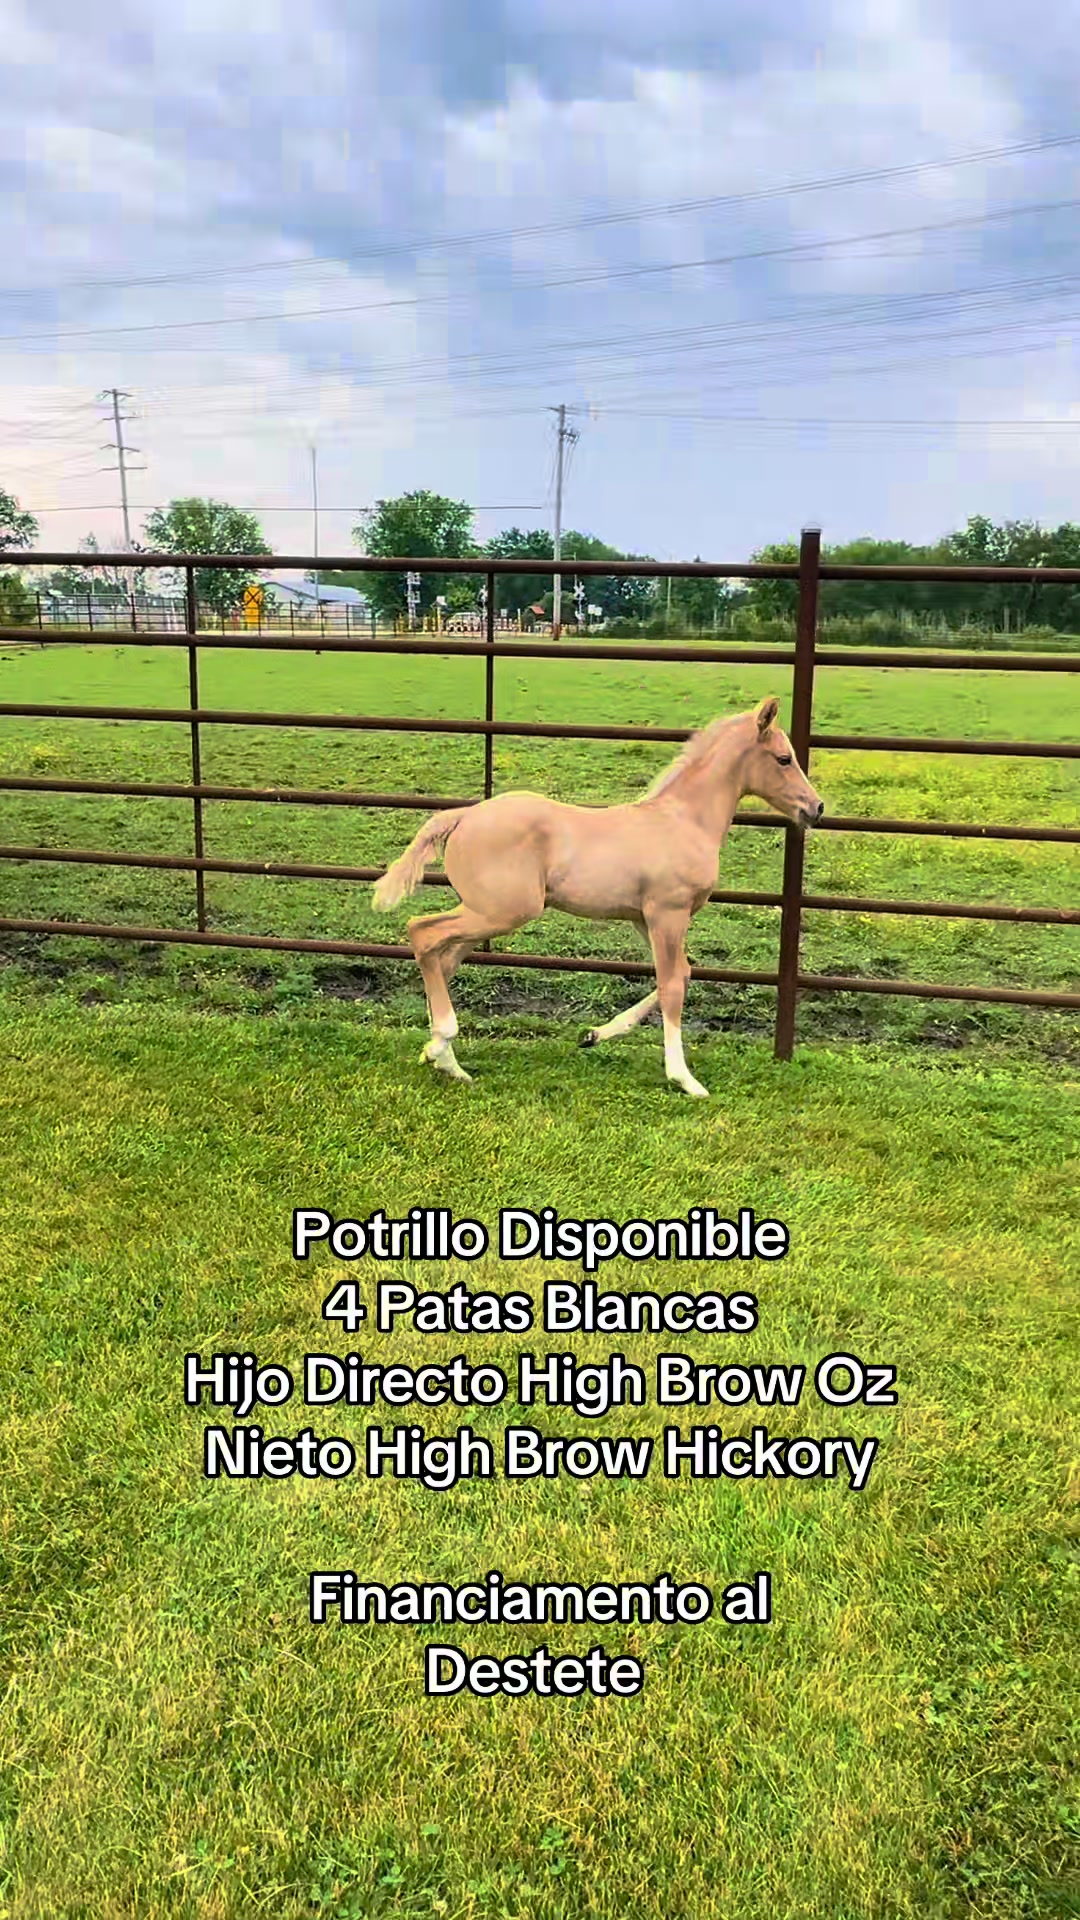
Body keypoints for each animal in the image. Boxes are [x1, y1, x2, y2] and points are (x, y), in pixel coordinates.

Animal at [371, 696, 823, 1097]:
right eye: (784, 759)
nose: (815, 808)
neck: (683, 821)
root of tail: (464, 815)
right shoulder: (668, 913)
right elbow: (673, 985)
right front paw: (685, 1079)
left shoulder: (644, 918)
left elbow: (678, 975)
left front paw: (593, 1035)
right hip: (503, 910)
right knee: (423, 933)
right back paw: (444, 1042)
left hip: (488, 913)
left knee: (441, 957)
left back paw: (442, 1057)